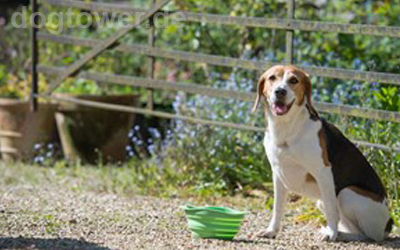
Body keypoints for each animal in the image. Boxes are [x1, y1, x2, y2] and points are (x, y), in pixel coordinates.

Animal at [252, 65, 392, 242]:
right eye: (272, 78)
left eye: (293, 80)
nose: (280, 91)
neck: (287, 129)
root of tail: (389, 224)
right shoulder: (277, 174)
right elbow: (277, 208)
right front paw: (272, 231)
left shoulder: (323, 172)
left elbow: (332, 210)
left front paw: (331, 233)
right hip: (322, 202)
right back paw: (340, 234)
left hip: (346, 193)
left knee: (367, 236)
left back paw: (337, 234)